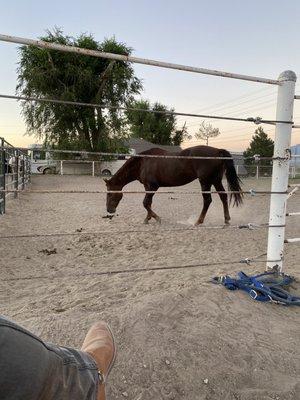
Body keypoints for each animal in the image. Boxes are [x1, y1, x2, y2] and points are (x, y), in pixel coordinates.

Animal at [104, 145, 243, 223]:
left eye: (109, 194)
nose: (109, 210)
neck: (143, 162)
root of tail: (217, 151)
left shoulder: (152, 187)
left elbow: (145, 203)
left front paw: (156, 218)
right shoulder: (148, 188)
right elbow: (148, 203)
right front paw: (148, 218)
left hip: (205, 181)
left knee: (207, 200)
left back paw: (198, 221)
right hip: (216, 180)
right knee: (223, 196)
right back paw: (226, 219)